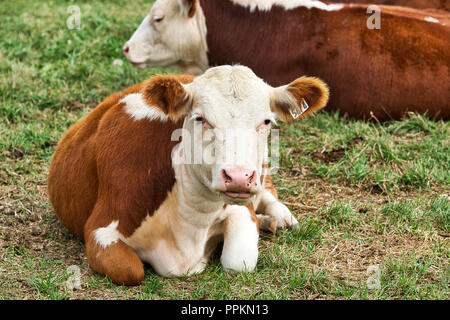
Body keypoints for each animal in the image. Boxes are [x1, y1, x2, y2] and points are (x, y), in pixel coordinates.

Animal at [48, 65, 330, 284]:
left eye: (266, 121)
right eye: (200, 118)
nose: (238, 177)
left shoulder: (240, 208)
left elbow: (238, 262)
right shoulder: (101, 229)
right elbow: (130, 270)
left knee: (268, 192)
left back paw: (280, 218)